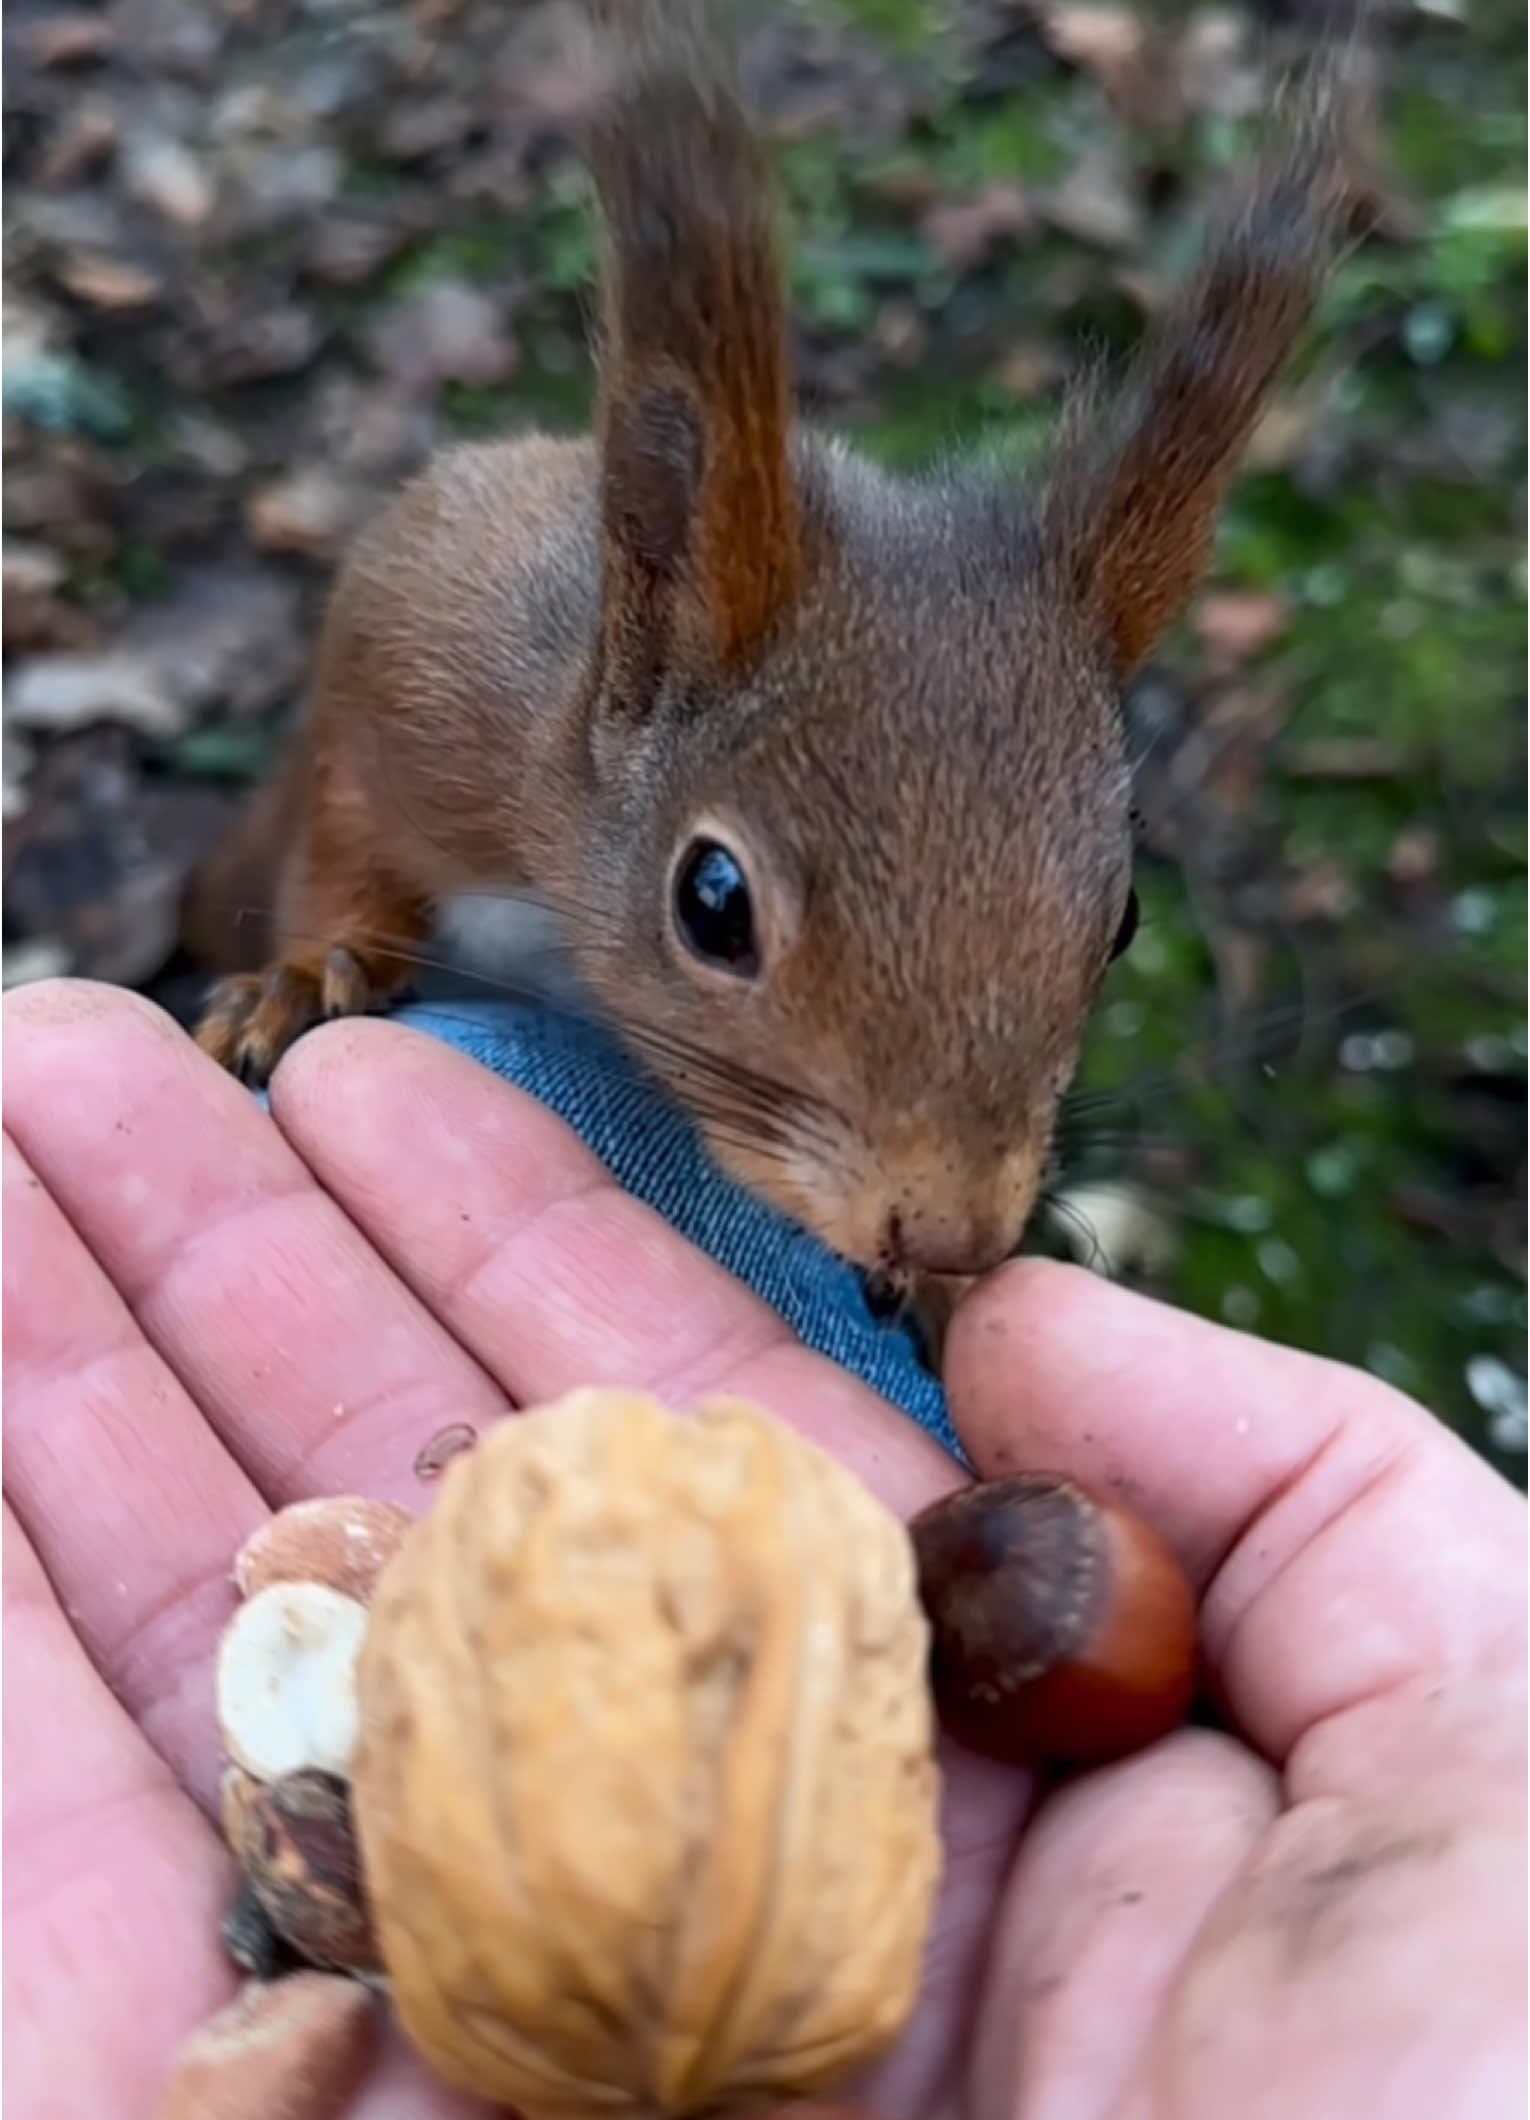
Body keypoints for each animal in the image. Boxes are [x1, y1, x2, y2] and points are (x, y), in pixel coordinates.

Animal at [182, 0, 1356, 1314]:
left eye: (1126, 919)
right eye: (713, 902)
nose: (950, 1236)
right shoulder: (420, 644)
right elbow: (349, 817)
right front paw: (302, 975)